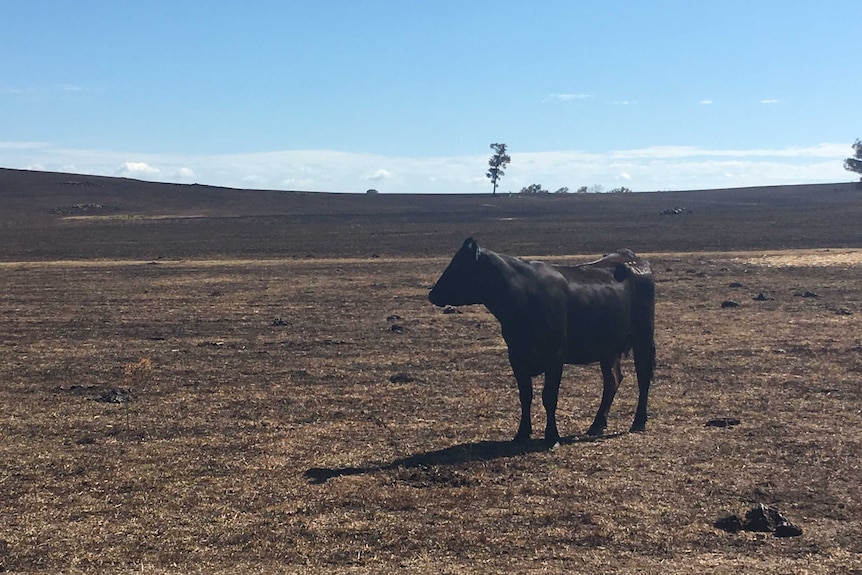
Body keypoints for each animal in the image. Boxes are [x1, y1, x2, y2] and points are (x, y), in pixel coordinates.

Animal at [428, 238, 660, 446]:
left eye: (460, 267)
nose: (432, 294)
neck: (522, 297)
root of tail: (631, 257)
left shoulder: (554, 356)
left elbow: (549, 397)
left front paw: (552, 437)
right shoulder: (516, 356)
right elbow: (525, 395)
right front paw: (522, 433)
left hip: (643, 337)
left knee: (643, 377)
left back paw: (638, 422)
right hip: (608, 347)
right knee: (612, 380)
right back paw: (596, 425)